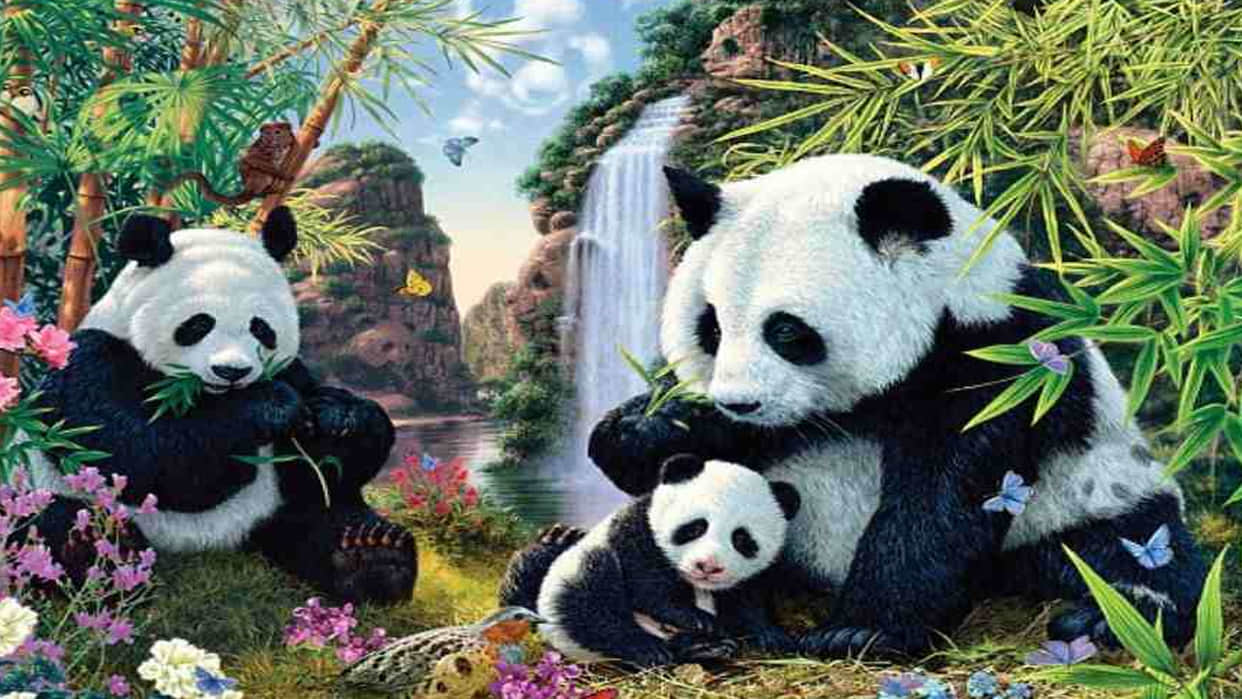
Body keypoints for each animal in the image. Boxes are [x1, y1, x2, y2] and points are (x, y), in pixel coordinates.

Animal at [20, 208, 416, 604]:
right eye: (198, 324)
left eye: (261, 328)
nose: (231, 371)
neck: (207, 396)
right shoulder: (89, 361)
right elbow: (140, 452)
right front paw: (270, 406)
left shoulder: (292, 370)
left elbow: (331, 465)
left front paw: (340, 416)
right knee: (51, 523)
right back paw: (90, 552)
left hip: (274, 507)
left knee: (318, 513)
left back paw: (370, 557)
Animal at [498, 455, 801, 666]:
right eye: (695, 527)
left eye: (741, 539)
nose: (707, 566)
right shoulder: (638, 531)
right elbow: (647, 587)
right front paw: (696, 618)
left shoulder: (747, 577)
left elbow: (747, 599)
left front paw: (771, 635)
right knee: (590, 600)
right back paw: (649, 648)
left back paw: (701, 648)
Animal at [588, 154, 1208, 657]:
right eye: (711, 327)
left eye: (786, 331)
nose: (740, 402)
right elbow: (680, 464)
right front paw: (651, 424)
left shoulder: (1003, 357)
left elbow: (944, 493)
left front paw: (859, 631)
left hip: (1091, 492)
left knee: (1130, 549)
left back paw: (1112, 616)